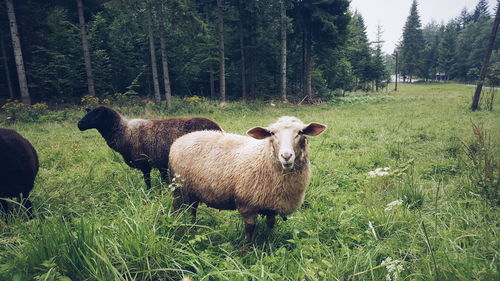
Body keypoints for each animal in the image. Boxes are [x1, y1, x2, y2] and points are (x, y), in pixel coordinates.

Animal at [77, 106, 222, 187]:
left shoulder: (145, 163)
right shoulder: (160, 163)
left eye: (96, 115)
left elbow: (148, 181)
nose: (79, 124)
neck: (124, 132)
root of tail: (219, 128)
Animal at [168, 115, 326, 241]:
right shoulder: (246, 204)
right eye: (272, 133)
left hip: (193, 190)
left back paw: (192, 226)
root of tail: (181, 139)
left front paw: (268, 242)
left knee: (192, 209)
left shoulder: (272, 205)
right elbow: (250, 228)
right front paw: (247, 250)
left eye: (300, 132)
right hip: (179, 188)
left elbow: (271, 225)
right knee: (177, 209)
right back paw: (179, 226)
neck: (264, 158)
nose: (286, 156)